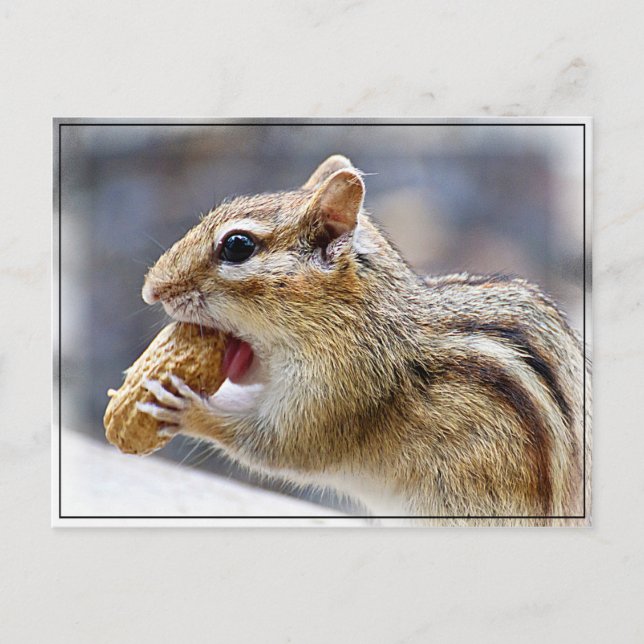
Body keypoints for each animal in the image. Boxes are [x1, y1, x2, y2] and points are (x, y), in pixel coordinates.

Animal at [138, 154, 590, 526]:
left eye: (237, 246)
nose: (151, 290)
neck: (358, 321)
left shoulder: (339, 391)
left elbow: (273, 444)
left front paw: (185, 406)